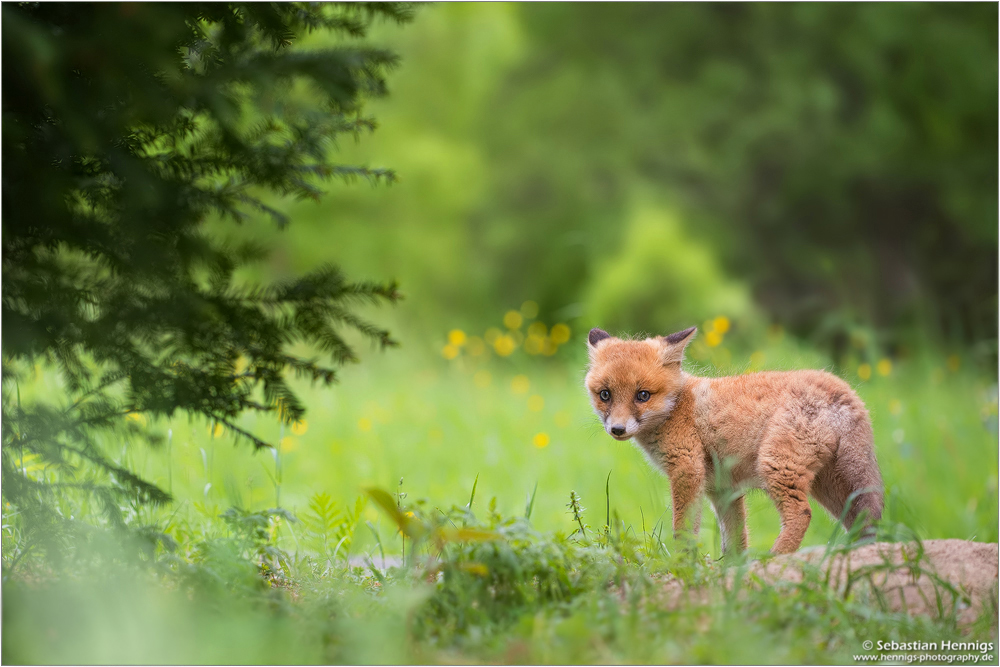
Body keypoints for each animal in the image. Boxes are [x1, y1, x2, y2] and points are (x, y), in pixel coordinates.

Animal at [584, 326, 884, 556]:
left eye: (643, 395)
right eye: (605, 394)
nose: (617, 429)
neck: (678, 406)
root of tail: (843, 392)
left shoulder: (686, 470)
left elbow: (684, 530)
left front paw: (682, 565)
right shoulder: (723, 489)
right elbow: (735, 541)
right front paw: (731, 574)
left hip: (778, 467)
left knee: (802, 514)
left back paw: (775, 558)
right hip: (831, 487)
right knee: (861, 521)